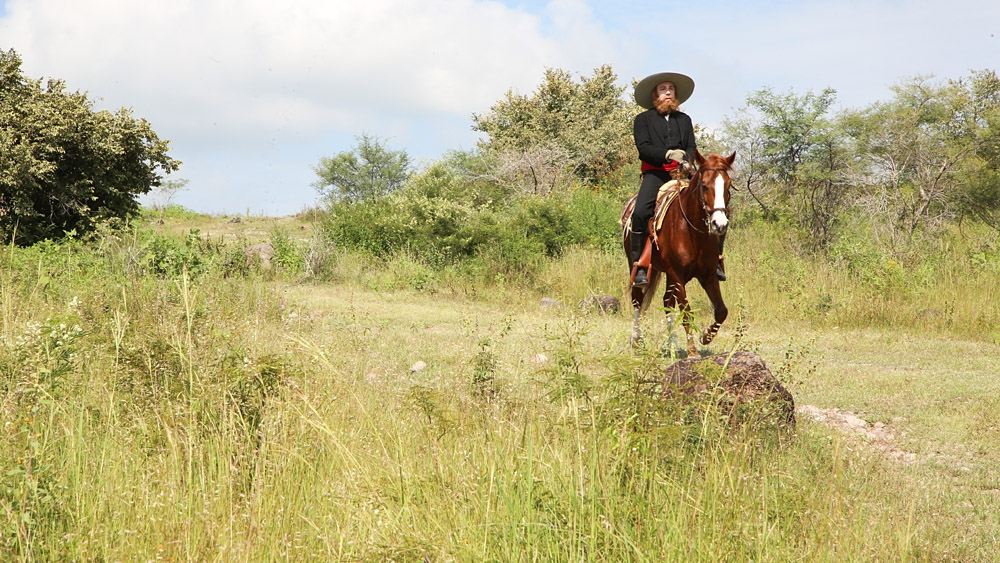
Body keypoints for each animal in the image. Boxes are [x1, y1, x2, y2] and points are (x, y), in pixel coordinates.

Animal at [623, 150, 736, 355]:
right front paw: (692, 351)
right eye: (704, 185)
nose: (720, 224)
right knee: (638, 300)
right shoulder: (677, 274)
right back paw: (635, 340)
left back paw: (672, 344)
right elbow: (686, 311)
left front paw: (705, 336)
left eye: (728, 185)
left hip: (668, 276)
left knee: (667, 303)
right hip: (637, 268)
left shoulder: (708, 275)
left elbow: (721, 310)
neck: (692, 231)